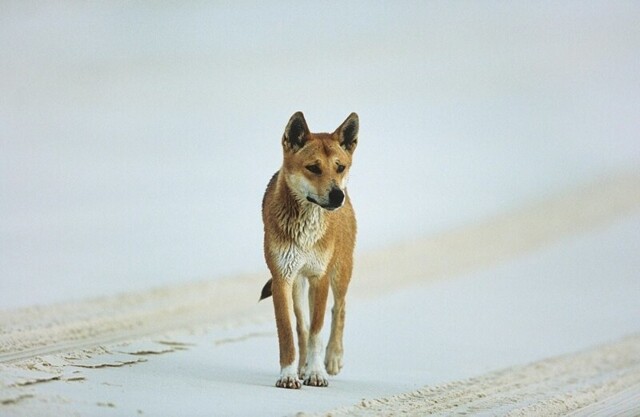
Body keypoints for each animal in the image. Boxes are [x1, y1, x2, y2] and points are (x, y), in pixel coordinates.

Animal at [260, 110, 360, 386]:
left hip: (340, 271)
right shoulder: (282, 278)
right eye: (313, 168)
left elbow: (317, 331)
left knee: (339, 308)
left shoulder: (319, 277)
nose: (337, 195)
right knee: (301, 326)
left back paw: (333, 358)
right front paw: (289, 374)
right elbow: (289, 332)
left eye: (340, 167)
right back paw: (301, 368)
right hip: (297, 284)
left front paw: (317, 372)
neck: (306, 231)